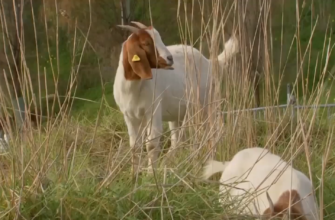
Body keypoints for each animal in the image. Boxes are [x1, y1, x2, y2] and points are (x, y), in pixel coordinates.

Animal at [114, 21, 240, 174]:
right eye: (146, 43)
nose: (170, 58)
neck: (133, 88)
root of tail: (210, 62)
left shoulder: (154, 109)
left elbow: (151, 143)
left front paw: (150, 174)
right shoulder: (129, 116)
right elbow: (135, 146)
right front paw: (134, 174)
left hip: (208, 103)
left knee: (215, 128)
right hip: (179, 112)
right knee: (177, 139)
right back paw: (170, 162)